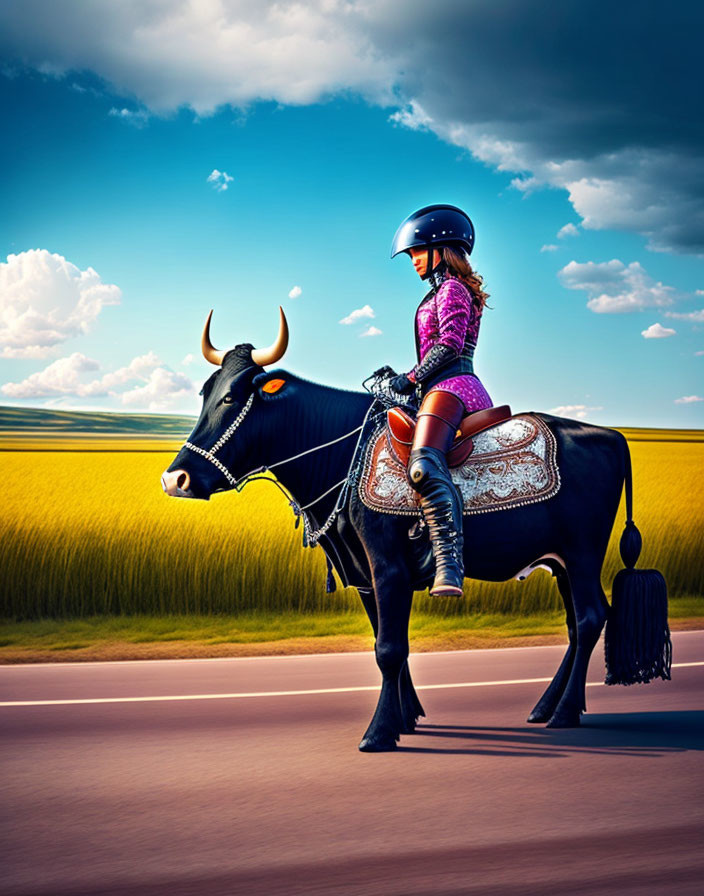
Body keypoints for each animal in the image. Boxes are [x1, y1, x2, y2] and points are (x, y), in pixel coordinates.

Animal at [162, 346, 668, 752]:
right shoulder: (366, 576)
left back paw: (563, 712)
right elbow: (387, 643)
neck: (343, 456)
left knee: (589, 618)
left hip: (582, 555)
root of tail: (610, 435)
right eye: (203, 394)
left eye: (231, 398)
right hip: (561, 561)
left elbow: (389, 648)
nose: (176, 479)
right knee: (578, 623)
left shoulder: (387, 567)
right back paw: (551, 706)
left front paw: (380, 732)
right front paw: (406, 717)